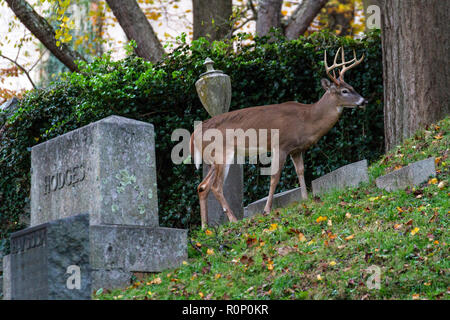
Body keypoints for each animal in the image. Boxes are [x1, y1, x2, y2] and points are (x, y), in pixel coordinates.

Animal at [190, 46, 366, 229]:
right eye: (344, 91)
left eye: (352, 86)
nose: (364, 101)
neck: (307, 119)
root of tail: (194, 134)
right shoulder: (280, 145)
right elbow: (275, 177)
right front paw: (267, 210)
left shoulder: (296, 149)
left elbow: (300, 171)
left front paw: (305, 199)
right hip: (222, 153)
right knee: (216, 187)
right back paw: (233, 220)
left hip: (212, 159)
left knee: (202, 186)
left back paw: (205, 227)